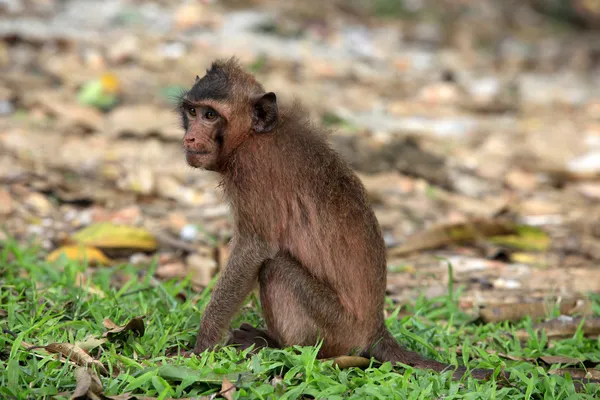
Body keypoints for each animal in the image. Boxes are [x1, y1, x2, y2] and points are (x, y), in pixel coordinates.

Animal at [178, 57, 502, 382]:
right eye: (192, 111)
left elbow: (255, 249)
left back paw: (282, 347)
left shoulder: (253, 171)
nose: (189, 137)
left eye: (210, 115)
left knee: (276, 267)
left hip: (337, 329)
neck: (252, 136)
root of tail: (375, 329)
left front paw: (202, 348)